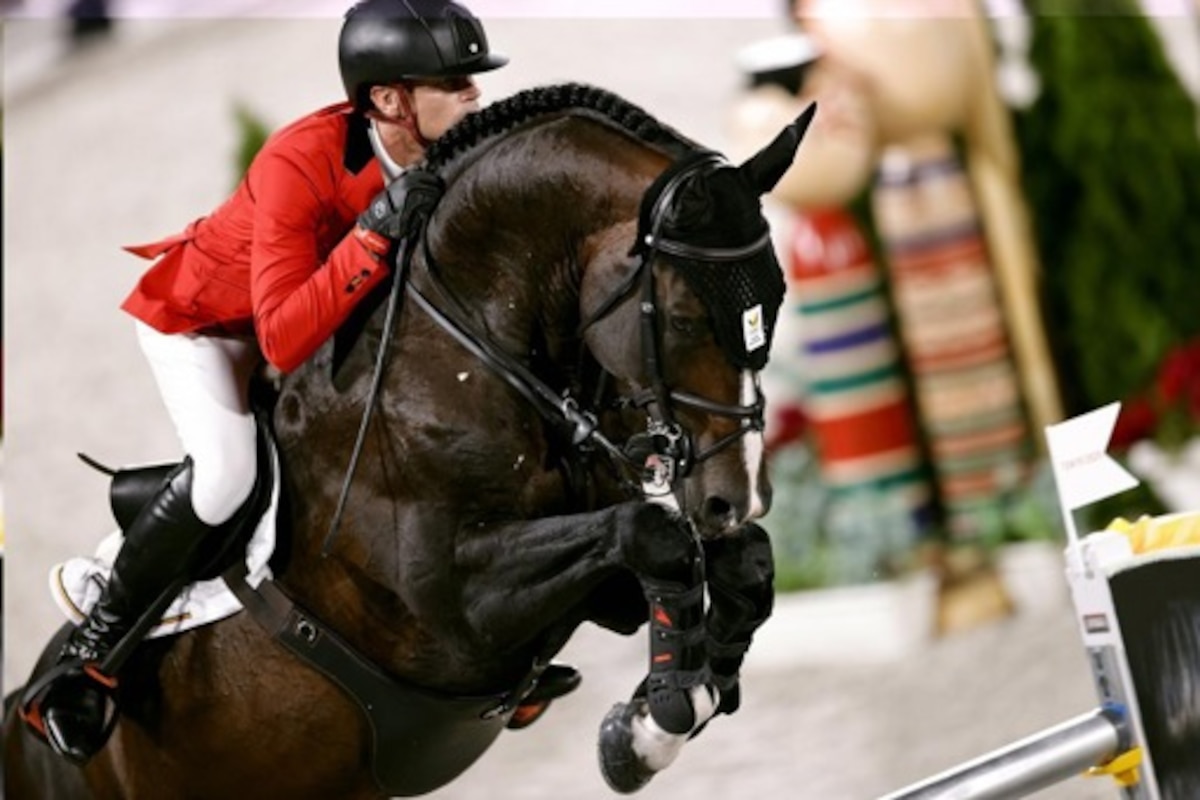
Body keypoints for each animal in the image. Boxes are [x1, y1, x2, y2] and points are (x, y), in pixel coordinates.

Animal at [4, 83, 813, 799]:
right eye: (682, 318)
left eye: (775, 299)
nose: (736, 497)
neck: (464, 354)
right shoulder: (459, 619)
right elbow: (654, 535)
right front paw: (665, 715)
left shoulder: (581, 593)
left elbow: (730, 559)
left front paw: (664, 711)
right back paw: (75, 697)